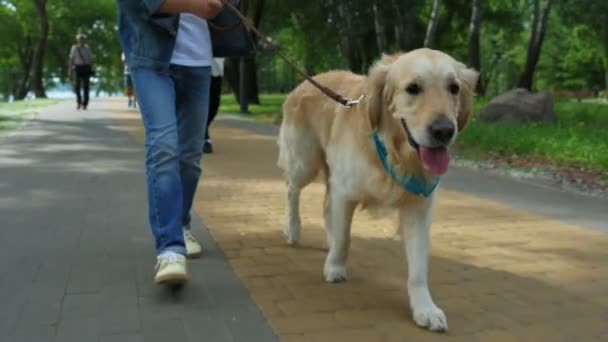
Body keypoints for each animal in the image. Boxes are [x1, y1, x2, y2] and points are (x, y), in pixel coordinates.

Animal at [276, 47, 480, 332]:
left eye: (454, 88)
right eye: (413, 88)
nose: (444, 131)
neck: (394, 152)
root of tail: (305, 81)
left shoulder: (418, 208)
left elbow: (418, 268)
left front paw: (425, 308)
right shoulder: (345, 190)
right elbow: (345, 238)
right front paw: (335, 267)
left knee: (326, 206)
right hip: (303, 161)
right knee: (291, 190)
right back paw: (293, 229)